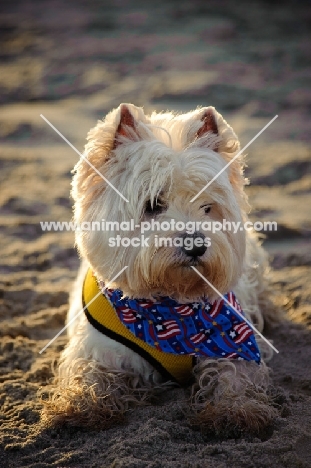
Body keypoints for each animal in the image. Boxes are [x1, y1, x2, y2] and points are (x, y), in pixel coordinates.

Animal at [43, 102, 280, 436]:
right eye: (153, 204)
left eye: (208, 207)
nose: (196, 245)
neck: (170, 310)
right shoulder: (98, 349)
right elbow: (89, 373)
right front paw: (78, 406)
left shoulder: (233, 342)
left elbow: (235, 374)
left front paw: (237, 410)